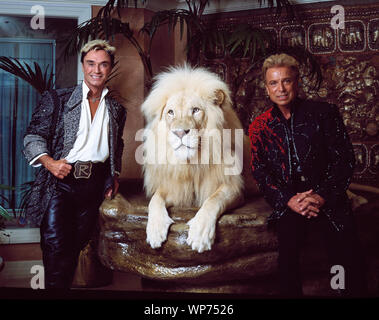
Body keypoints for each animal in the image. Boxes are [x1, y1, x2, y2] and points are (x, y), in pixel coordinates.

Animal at [140, 66, 255, 254]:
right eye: (170, 112)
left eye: (195, 110)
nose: (180, 132)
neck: (192, 162)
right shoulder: (176, 188)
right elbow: (155, 200)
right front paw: (155, 230)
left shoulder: (234, 188)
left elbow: (213, 200)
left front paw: (200, 235)